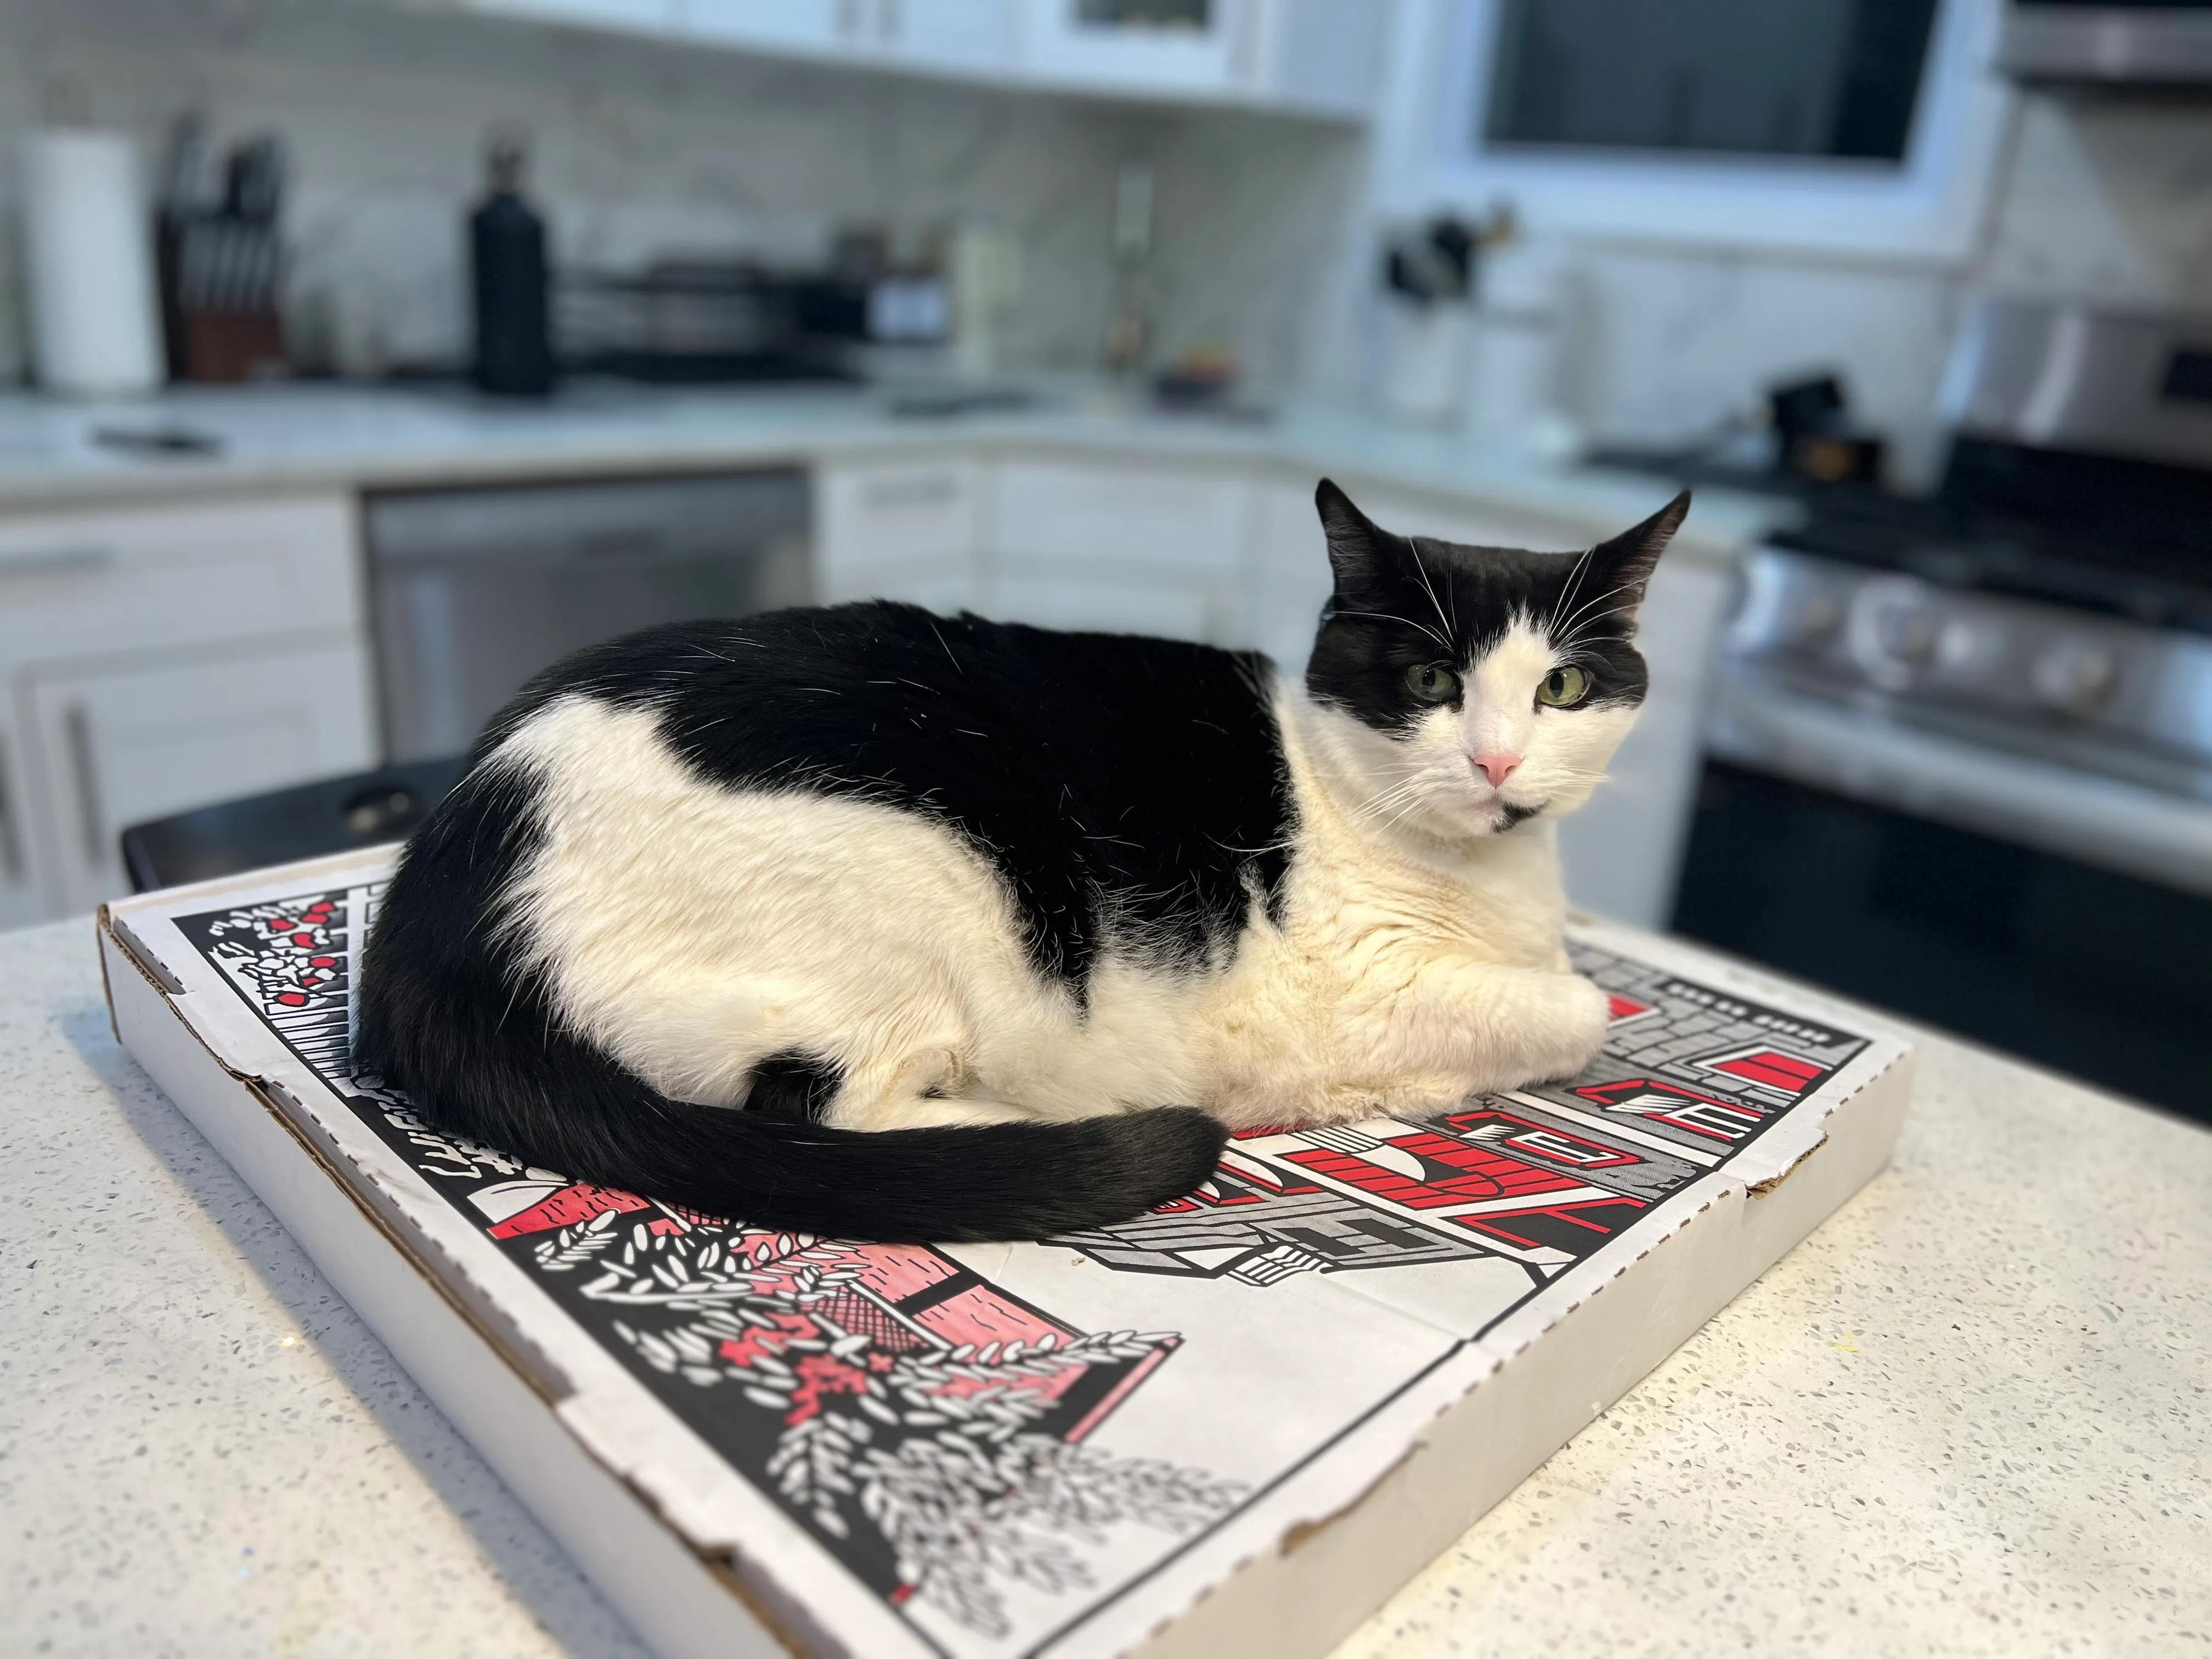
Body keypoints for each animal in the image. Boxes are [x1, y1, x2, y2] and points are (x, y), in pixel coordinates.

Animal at [354, 479, 1681, 1248]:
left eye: (1563, 688)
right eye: (1428, 679)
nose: (1499, 762)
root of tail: (435, 900)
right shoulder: (1347, 991)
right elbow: (1580, 1005)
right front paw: (1423, 1077)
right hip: (935, 876)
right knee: (830, 1107)